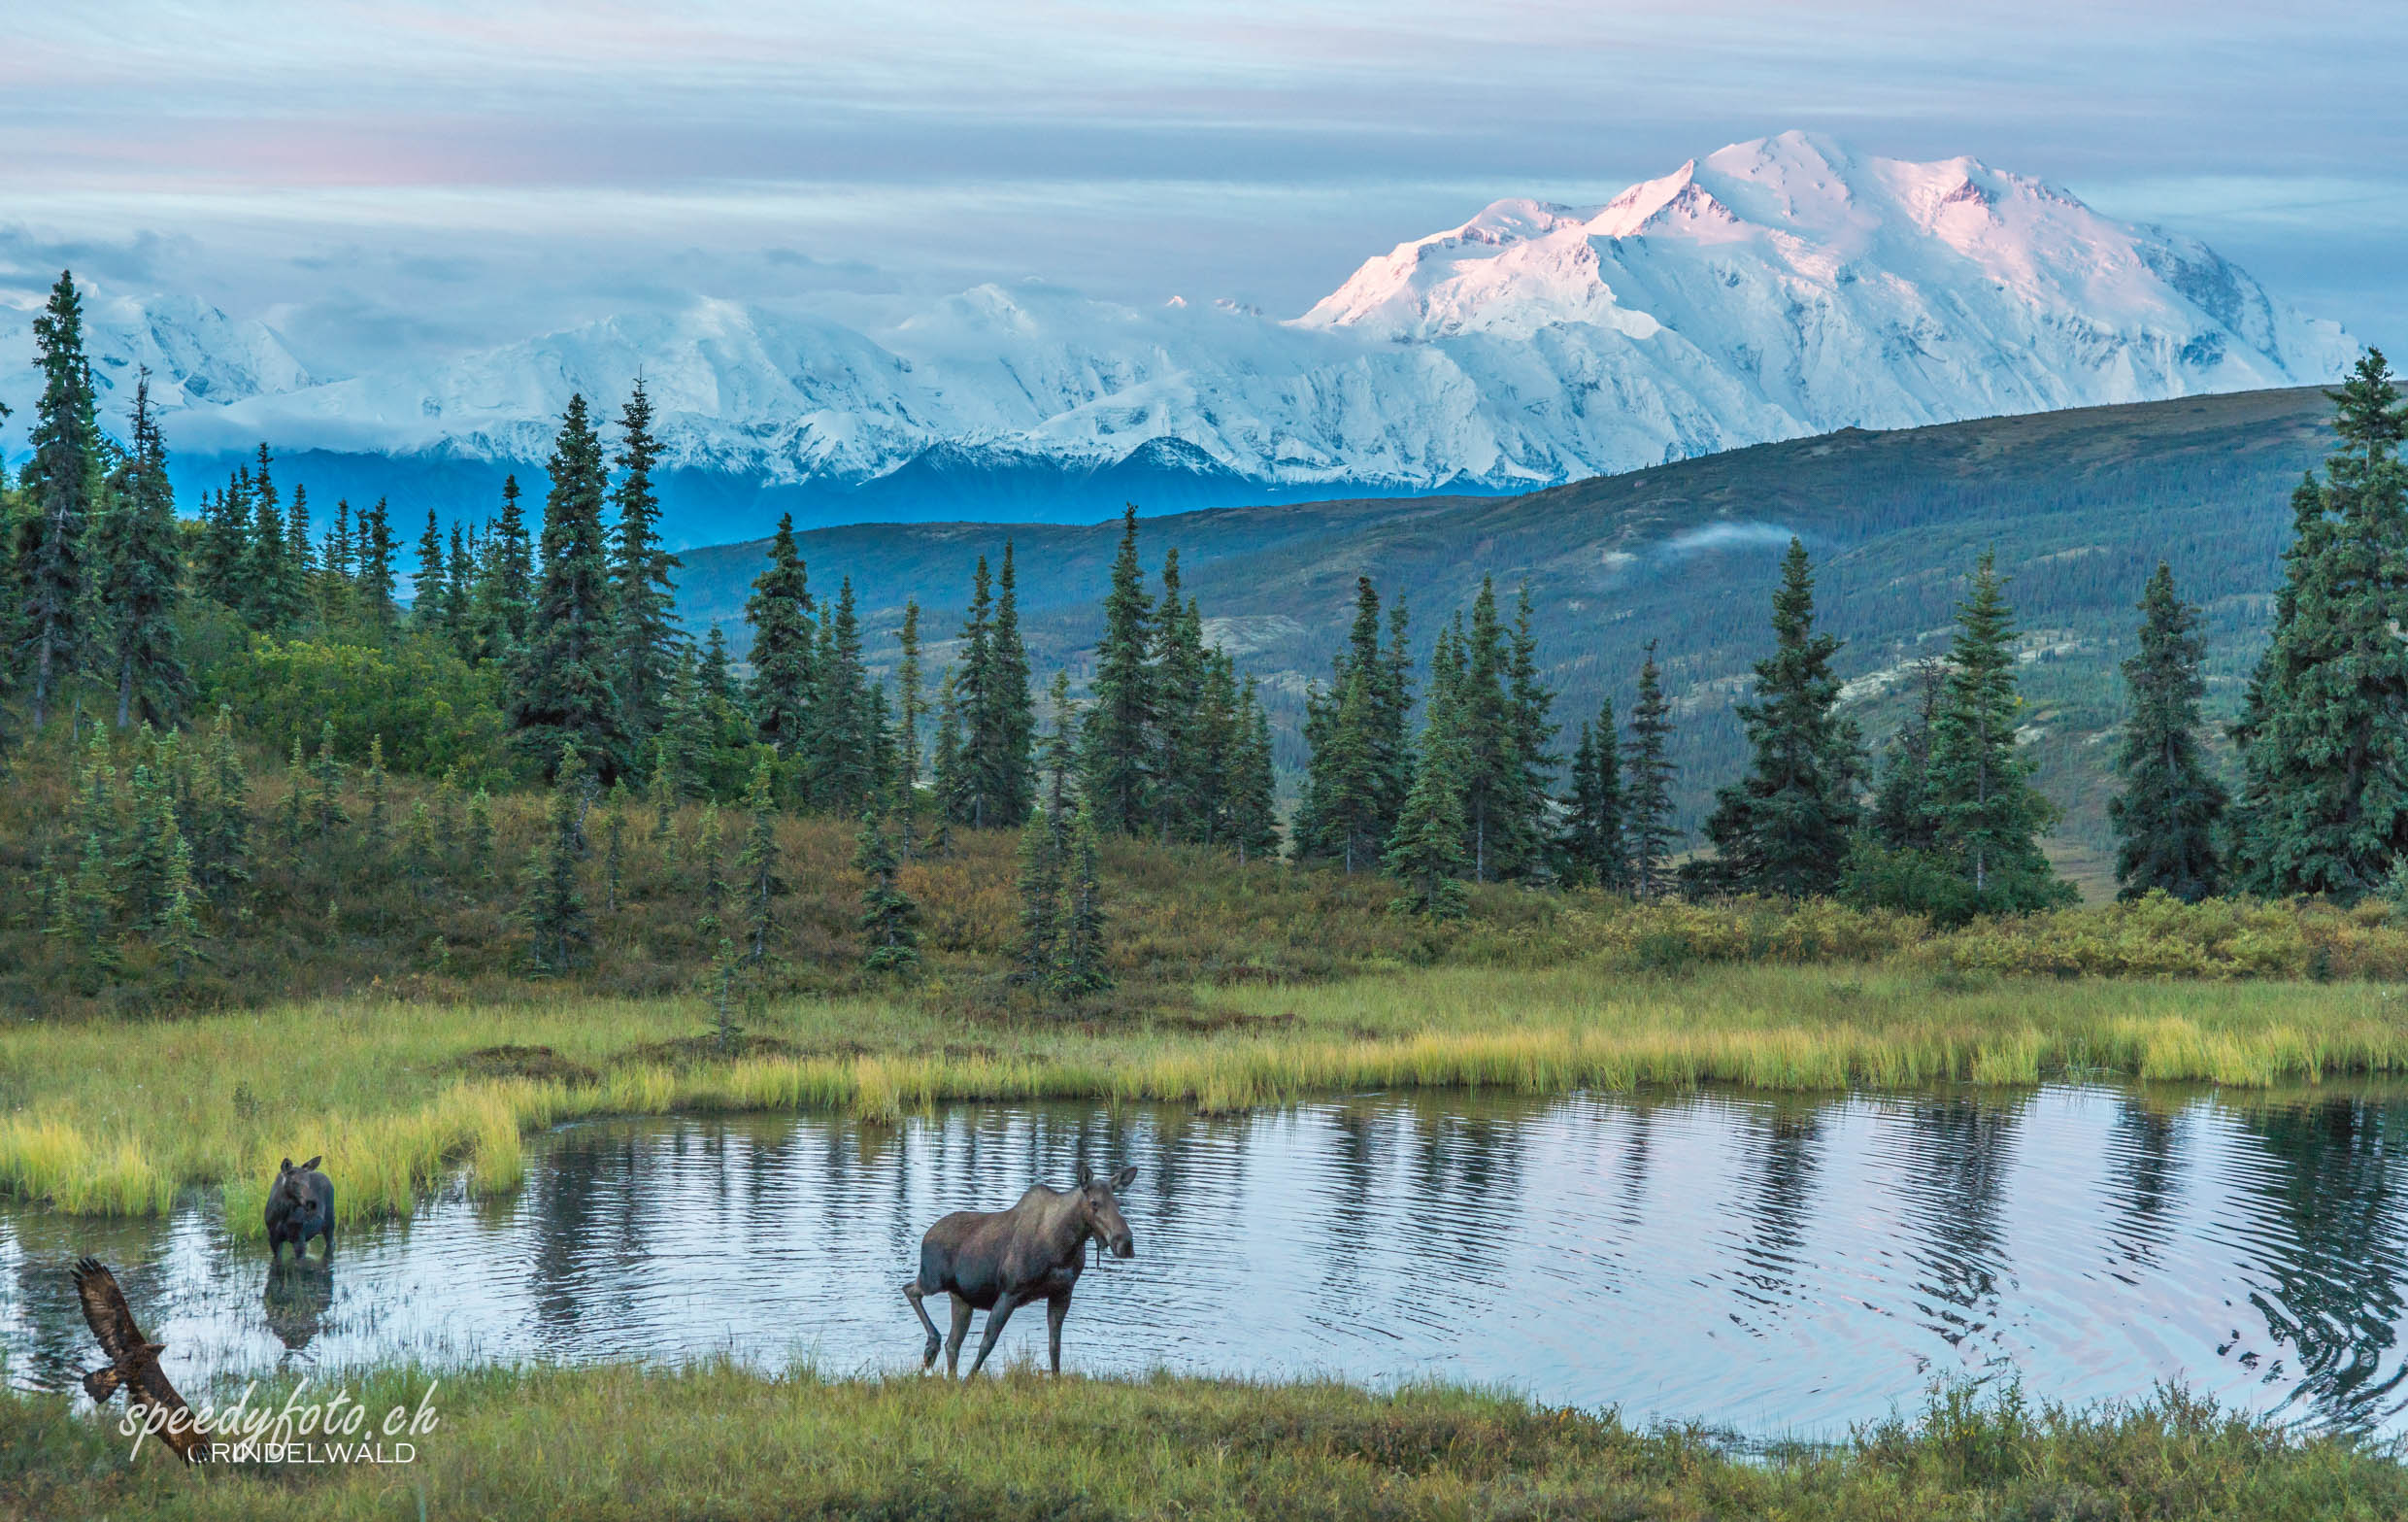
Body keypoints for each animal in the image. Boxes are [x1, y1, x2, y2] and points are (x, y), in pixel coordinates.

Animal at [905, 1166, 1141, 1377]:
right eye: (1094, 1203)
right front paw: (969, 1381)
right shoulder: (1009, 1293)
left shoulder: (1062, 1293)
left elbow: (1055, 1346)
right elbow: (987, 1342)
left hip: (961, 1299)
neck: (1064, 1245)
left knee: (952, 1344)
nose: (1125, 1243)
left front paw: (1057, 1382)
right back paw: (931, 1347)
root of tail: (927, 1235)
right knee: (909, 1289)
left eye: (1118, 1203)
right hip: (933, 1280)